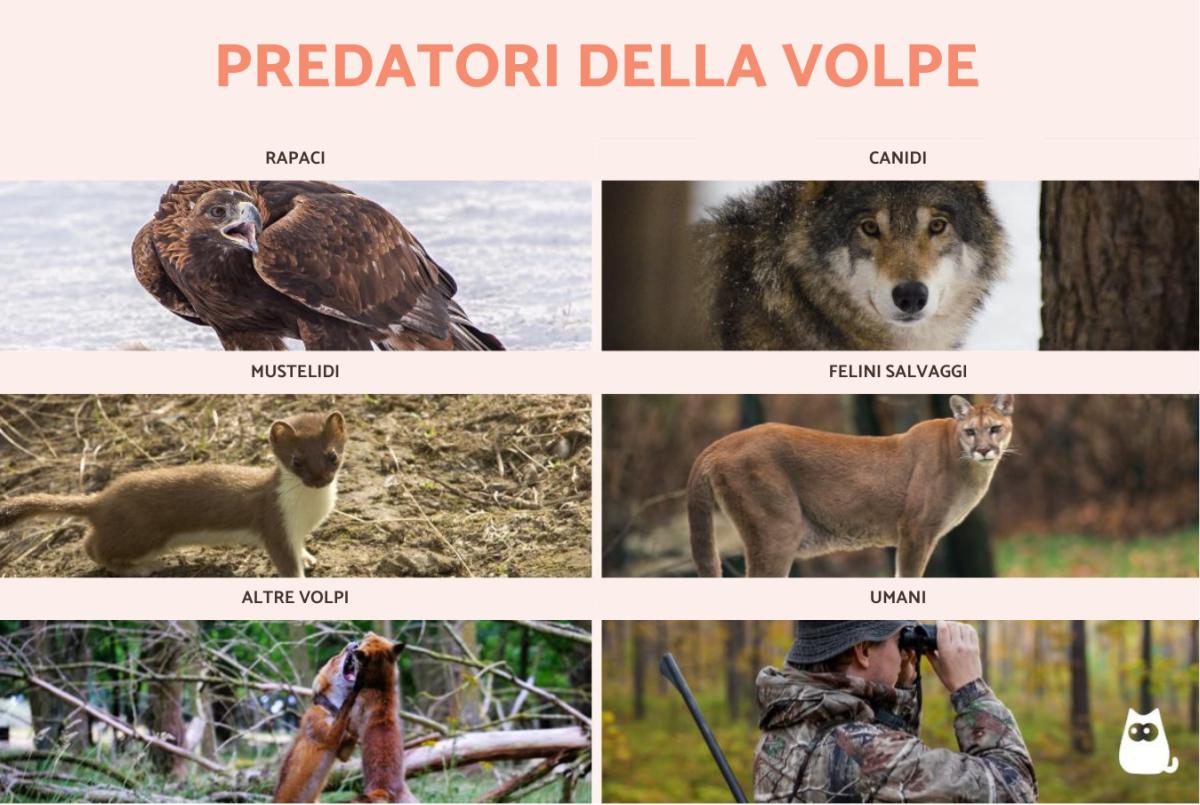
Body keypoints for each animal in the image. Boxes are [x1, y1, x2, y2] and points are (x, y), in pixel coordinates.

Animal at [0, 411, 346, 577]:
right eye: (296, 461)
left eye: (332, 455)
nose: (319, 479)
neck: (310, 511)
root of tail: (102, 498)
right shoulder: (274, 524)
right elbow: (287, 564)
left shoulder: (296, 531)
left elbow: (301, 548)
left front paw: (309, 558)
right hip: (141, 534)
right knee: (93, 547)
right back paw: (141, 568)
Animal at [273, 640, 364, 803]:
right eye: (335, 658)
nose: (354, 642)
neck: (330, 709)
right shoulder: (327, 735)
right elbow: (345, 708)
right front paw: (353, 696)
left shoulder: (342, 752)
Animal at [687, 394, 1014, 577]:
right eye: (970, 431)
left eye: (995, 429)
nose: (984, 450)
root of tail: (717, 444)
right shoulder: (916, 531)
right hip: (777, 533)